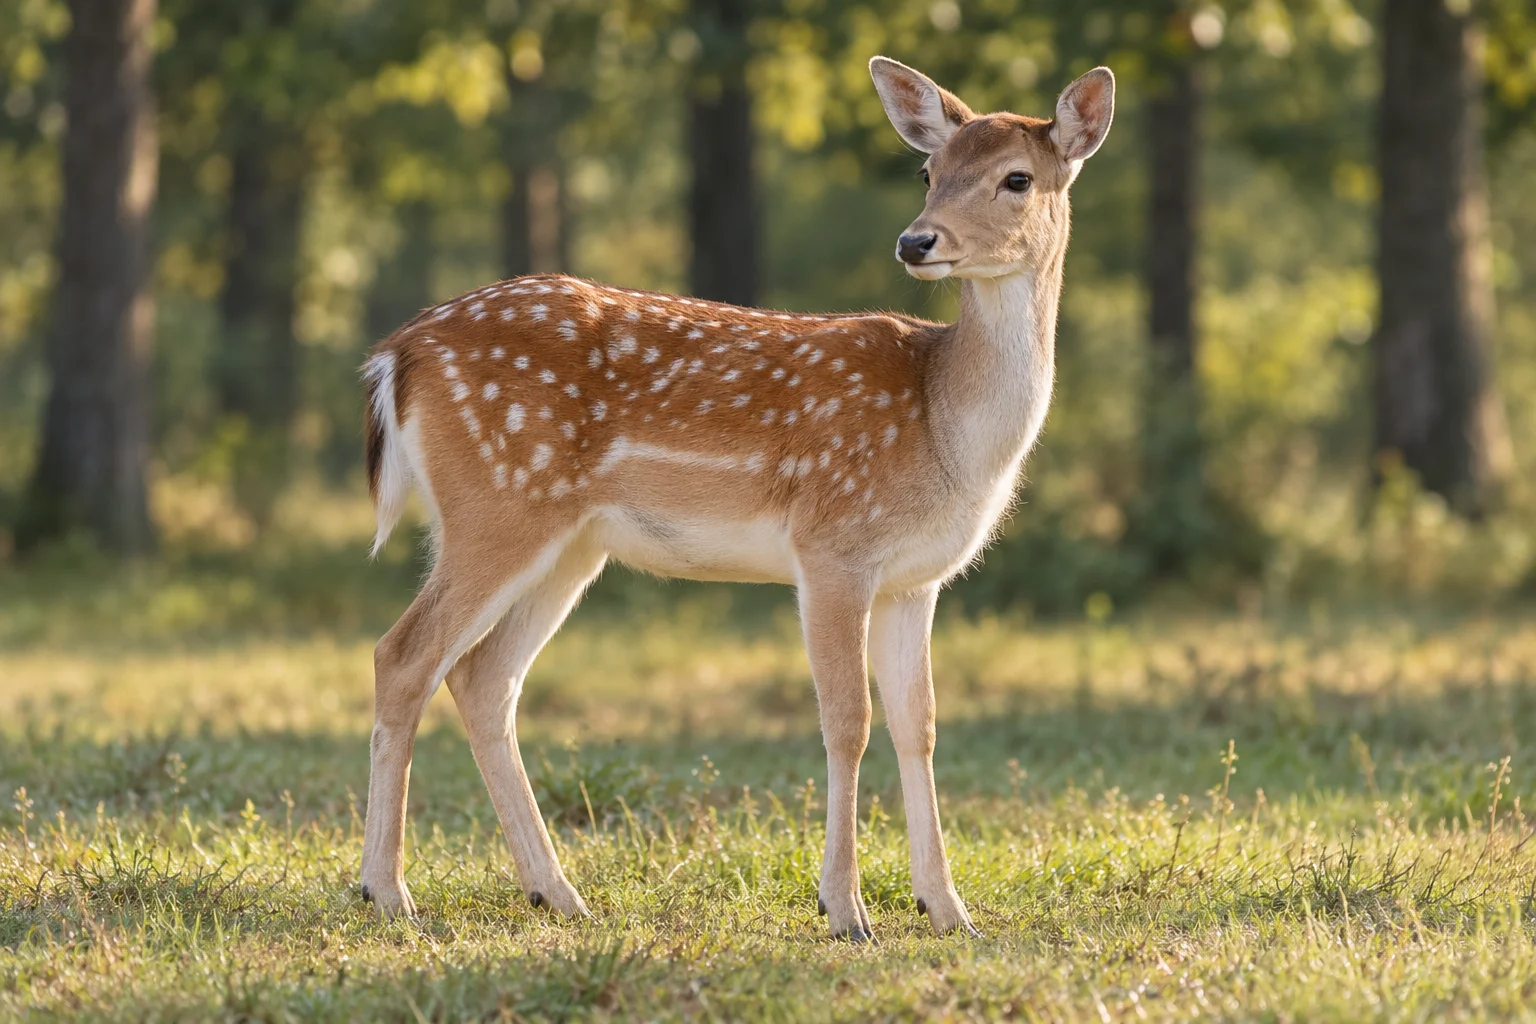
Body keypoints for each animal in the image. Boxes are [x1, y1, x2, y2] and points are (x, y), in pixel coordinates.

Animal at [358, 57, 1114, 941]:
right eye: (928, 172)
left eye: (1016, 178)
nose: (916, 240)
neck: (943, 426)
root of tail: (396, 354)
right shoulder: (831, 546)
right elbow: (847, 722)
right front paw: (845, 910)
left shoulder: (915, 579)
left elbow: (918, 725)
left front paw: (948, 910)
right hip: (497, 502)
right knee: (403, 654)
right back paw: (386, 891)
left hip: (569, 541)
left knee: (484, 678)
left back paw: (559, 892)